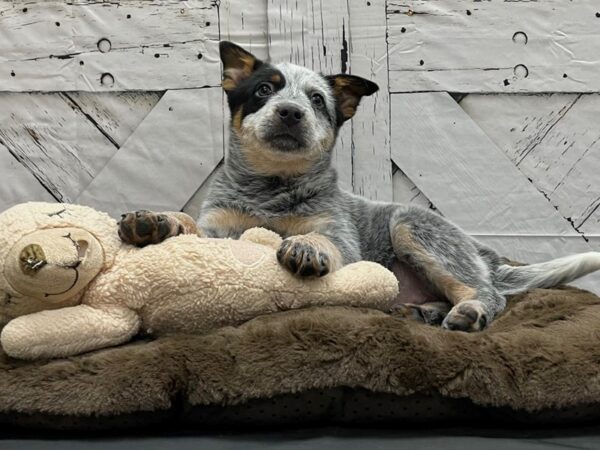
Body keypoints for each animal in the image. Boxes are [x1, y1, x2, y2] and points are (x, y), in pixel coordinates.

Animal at [119, 41, 600, 330]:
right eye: (263, 91)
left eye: (317, 99)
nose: (291, 111)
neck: (270, 188)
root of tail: (485, 254)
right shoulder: (218, 226)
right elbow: (188, 225)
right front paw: (155, 222)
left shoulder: (342, 238)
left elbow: (327, 242)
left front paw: (306, 247)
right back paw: (421, 310)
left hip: (413, 228)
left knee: (490, 293)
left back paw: (469, 311)